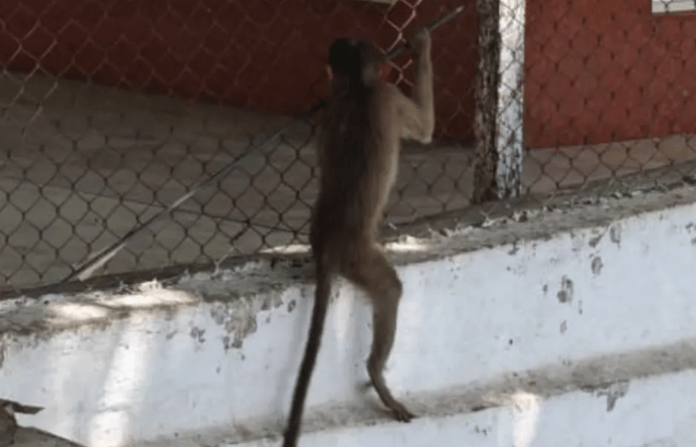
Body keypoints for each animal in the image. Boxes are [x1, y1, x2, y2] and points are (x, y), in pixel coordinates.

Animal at [282, 27, 434, 447]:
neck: (355, 88)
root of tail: (330, 243)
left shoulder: (331, 110)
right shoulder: (387, 95)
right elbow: (426, 129)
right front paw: (420, 44)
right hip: (360, 257)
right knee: (390, 290)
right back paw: (375, 372)